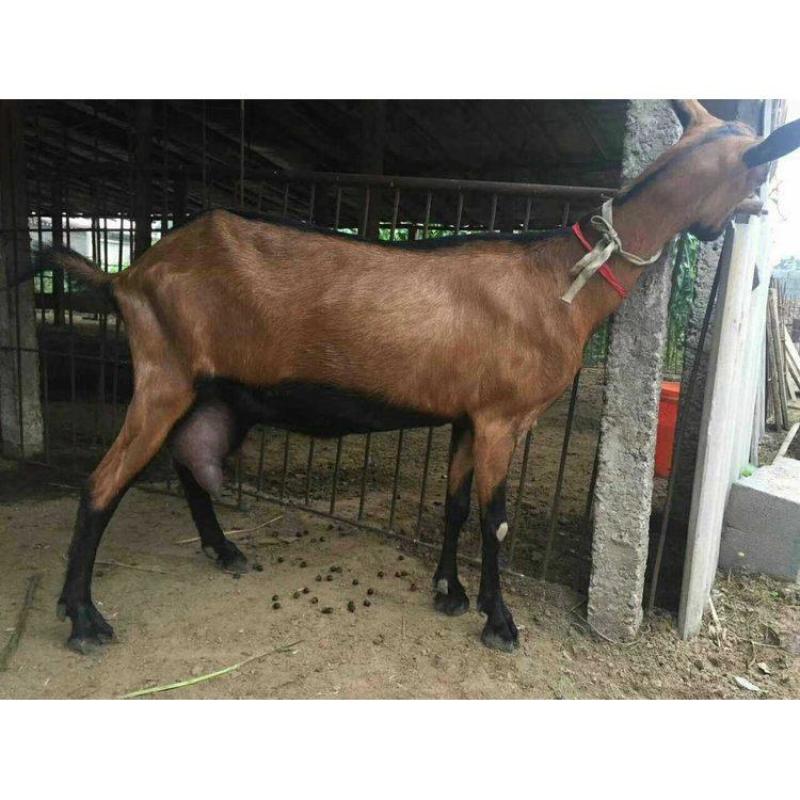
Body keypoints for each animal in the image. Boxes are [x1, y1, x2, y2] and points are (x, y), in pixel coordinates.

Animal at [38, 100, 800, 654]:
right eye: (754, 170)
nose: (764, 208)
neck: (561, 280)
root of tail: (128, 276)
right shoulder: (502, 417)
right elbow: (494, 519)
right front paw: (499, 622)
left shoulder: (469, 416)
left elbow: (457, 505)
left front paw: (449, 592)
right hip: (163, 374)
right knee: (103, 484)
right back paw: (83, 618)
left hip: (213, 391)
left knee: (190, 463)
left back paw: (223, 551)